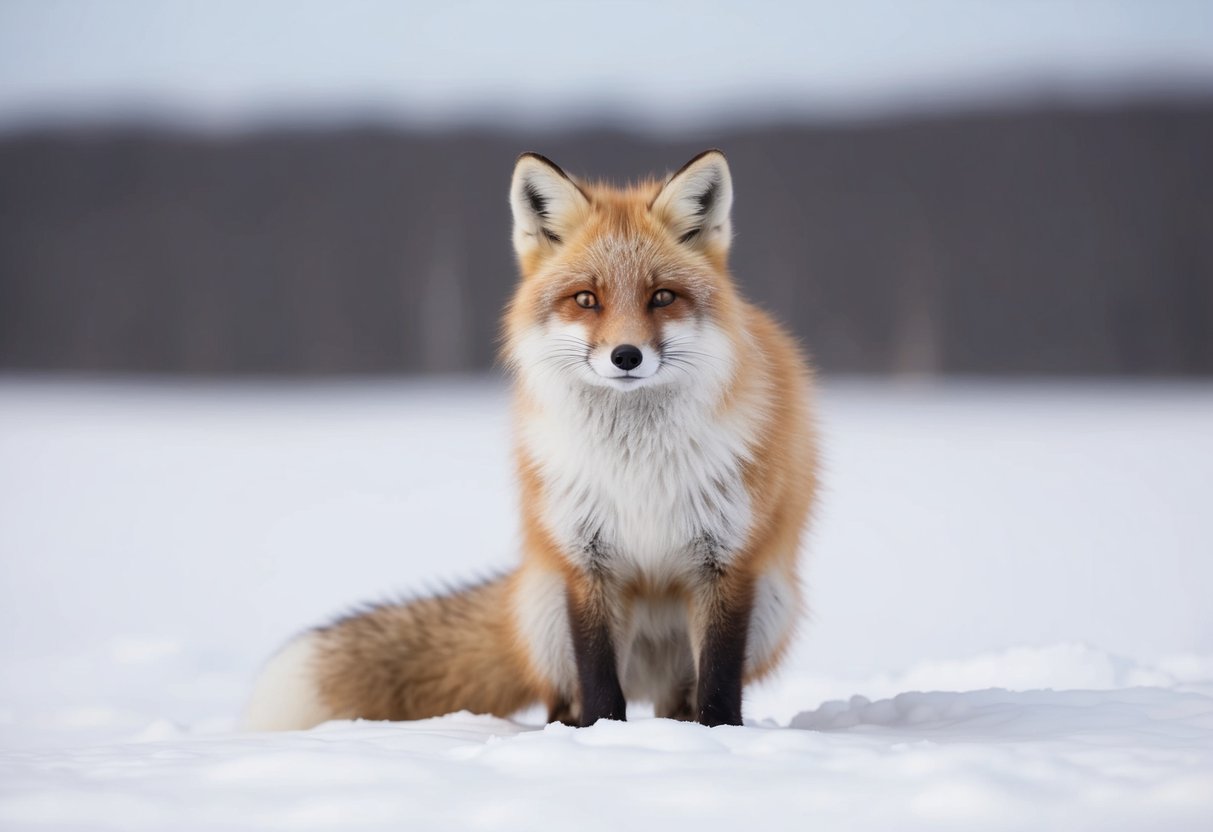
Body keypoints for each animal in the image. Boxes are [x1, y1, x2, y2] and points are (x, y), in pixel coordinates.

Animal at [243, 150, 818, 730]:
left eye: (662, 297)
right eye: (586, 298)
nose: (626, 356)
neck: (635, 465)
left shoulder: (726, 562)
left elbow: (719, 681)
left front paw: (719, 736)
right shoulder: (586, 559)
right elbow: (598, 677)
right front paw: (600, 735)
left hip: (771, 605)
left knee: (678, 699)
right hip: (545, 612)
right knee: (564, 696)